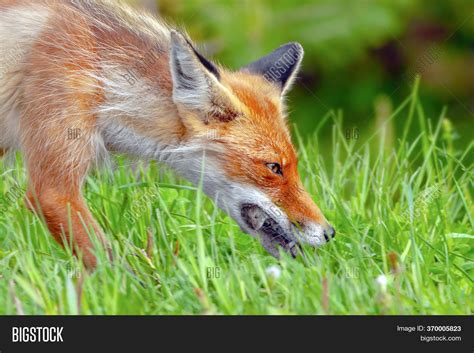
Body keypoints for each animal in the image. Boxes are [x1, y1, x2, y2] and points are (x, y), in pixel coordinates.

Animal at [0, 0, 336, 268]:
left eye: (292, 165)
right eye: (273, 167)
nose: (330, 232)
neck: (102, 77)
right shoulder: (52, 191)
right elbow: (111, 265)